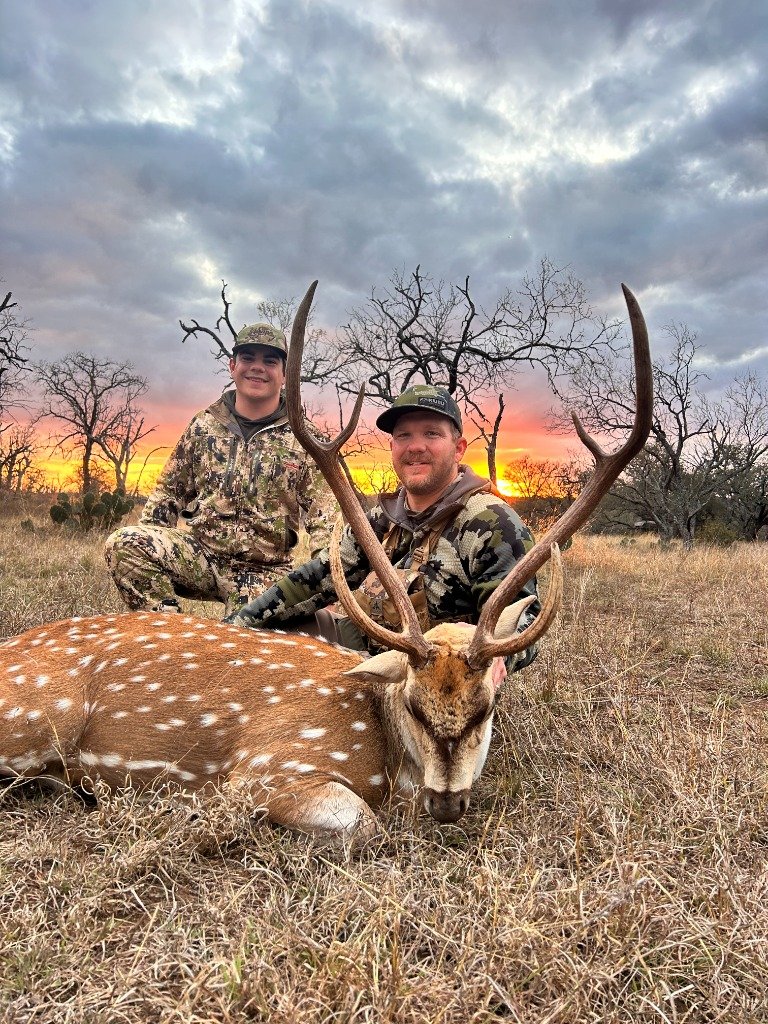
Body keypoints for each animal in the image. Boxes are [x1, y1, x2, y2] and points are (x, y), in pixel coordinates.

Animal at [0, 281, 652, 846]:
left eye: (484, 709)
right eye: (414, 705)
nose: (446, 803)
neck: (383, 752)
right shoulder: (267, 765)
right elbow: (361, 822)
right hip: (34, 715)